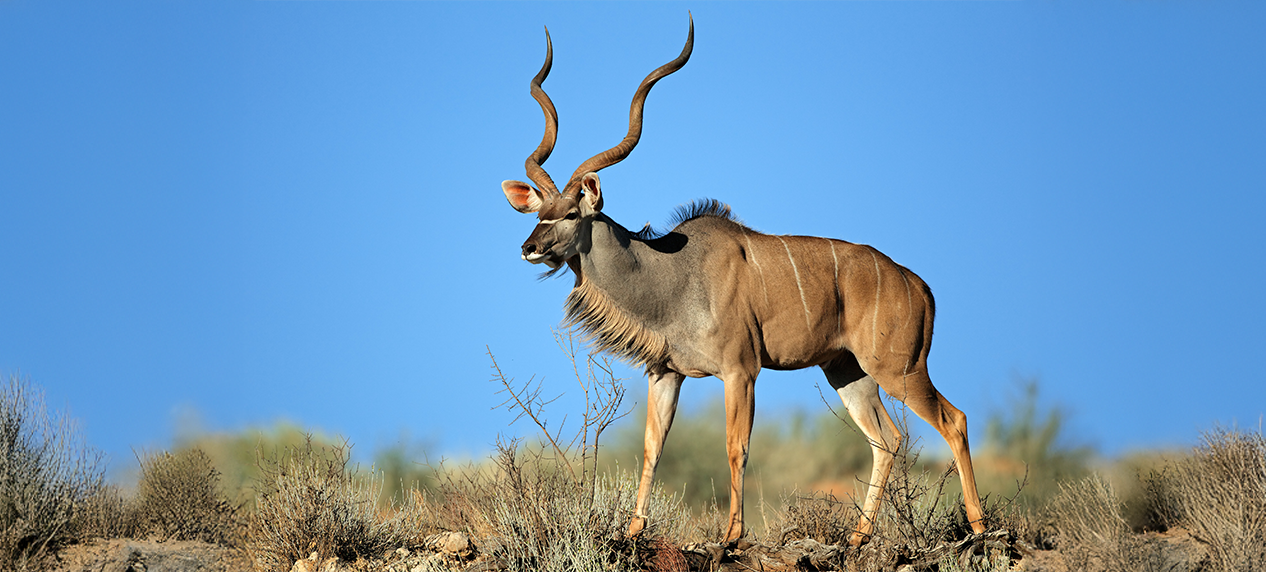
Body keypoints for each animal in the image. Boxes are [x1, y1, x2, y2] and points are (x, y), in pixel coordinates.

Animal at [500, 18, 987, 545]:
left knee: (953, 420)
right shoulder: (665, 373)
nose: (529, 247)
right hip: (847, 372)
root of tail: (918, 285)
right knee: (888, 439)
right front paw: (633, 531)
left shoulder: (741, 370)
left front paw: (731, 536)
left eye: (571, 213)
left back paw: (979, 527)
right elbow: (652, 448)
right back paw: (859, 537)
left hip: (899, 369)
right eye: (539, 213)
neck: (673, 274)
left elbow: (736, 446)